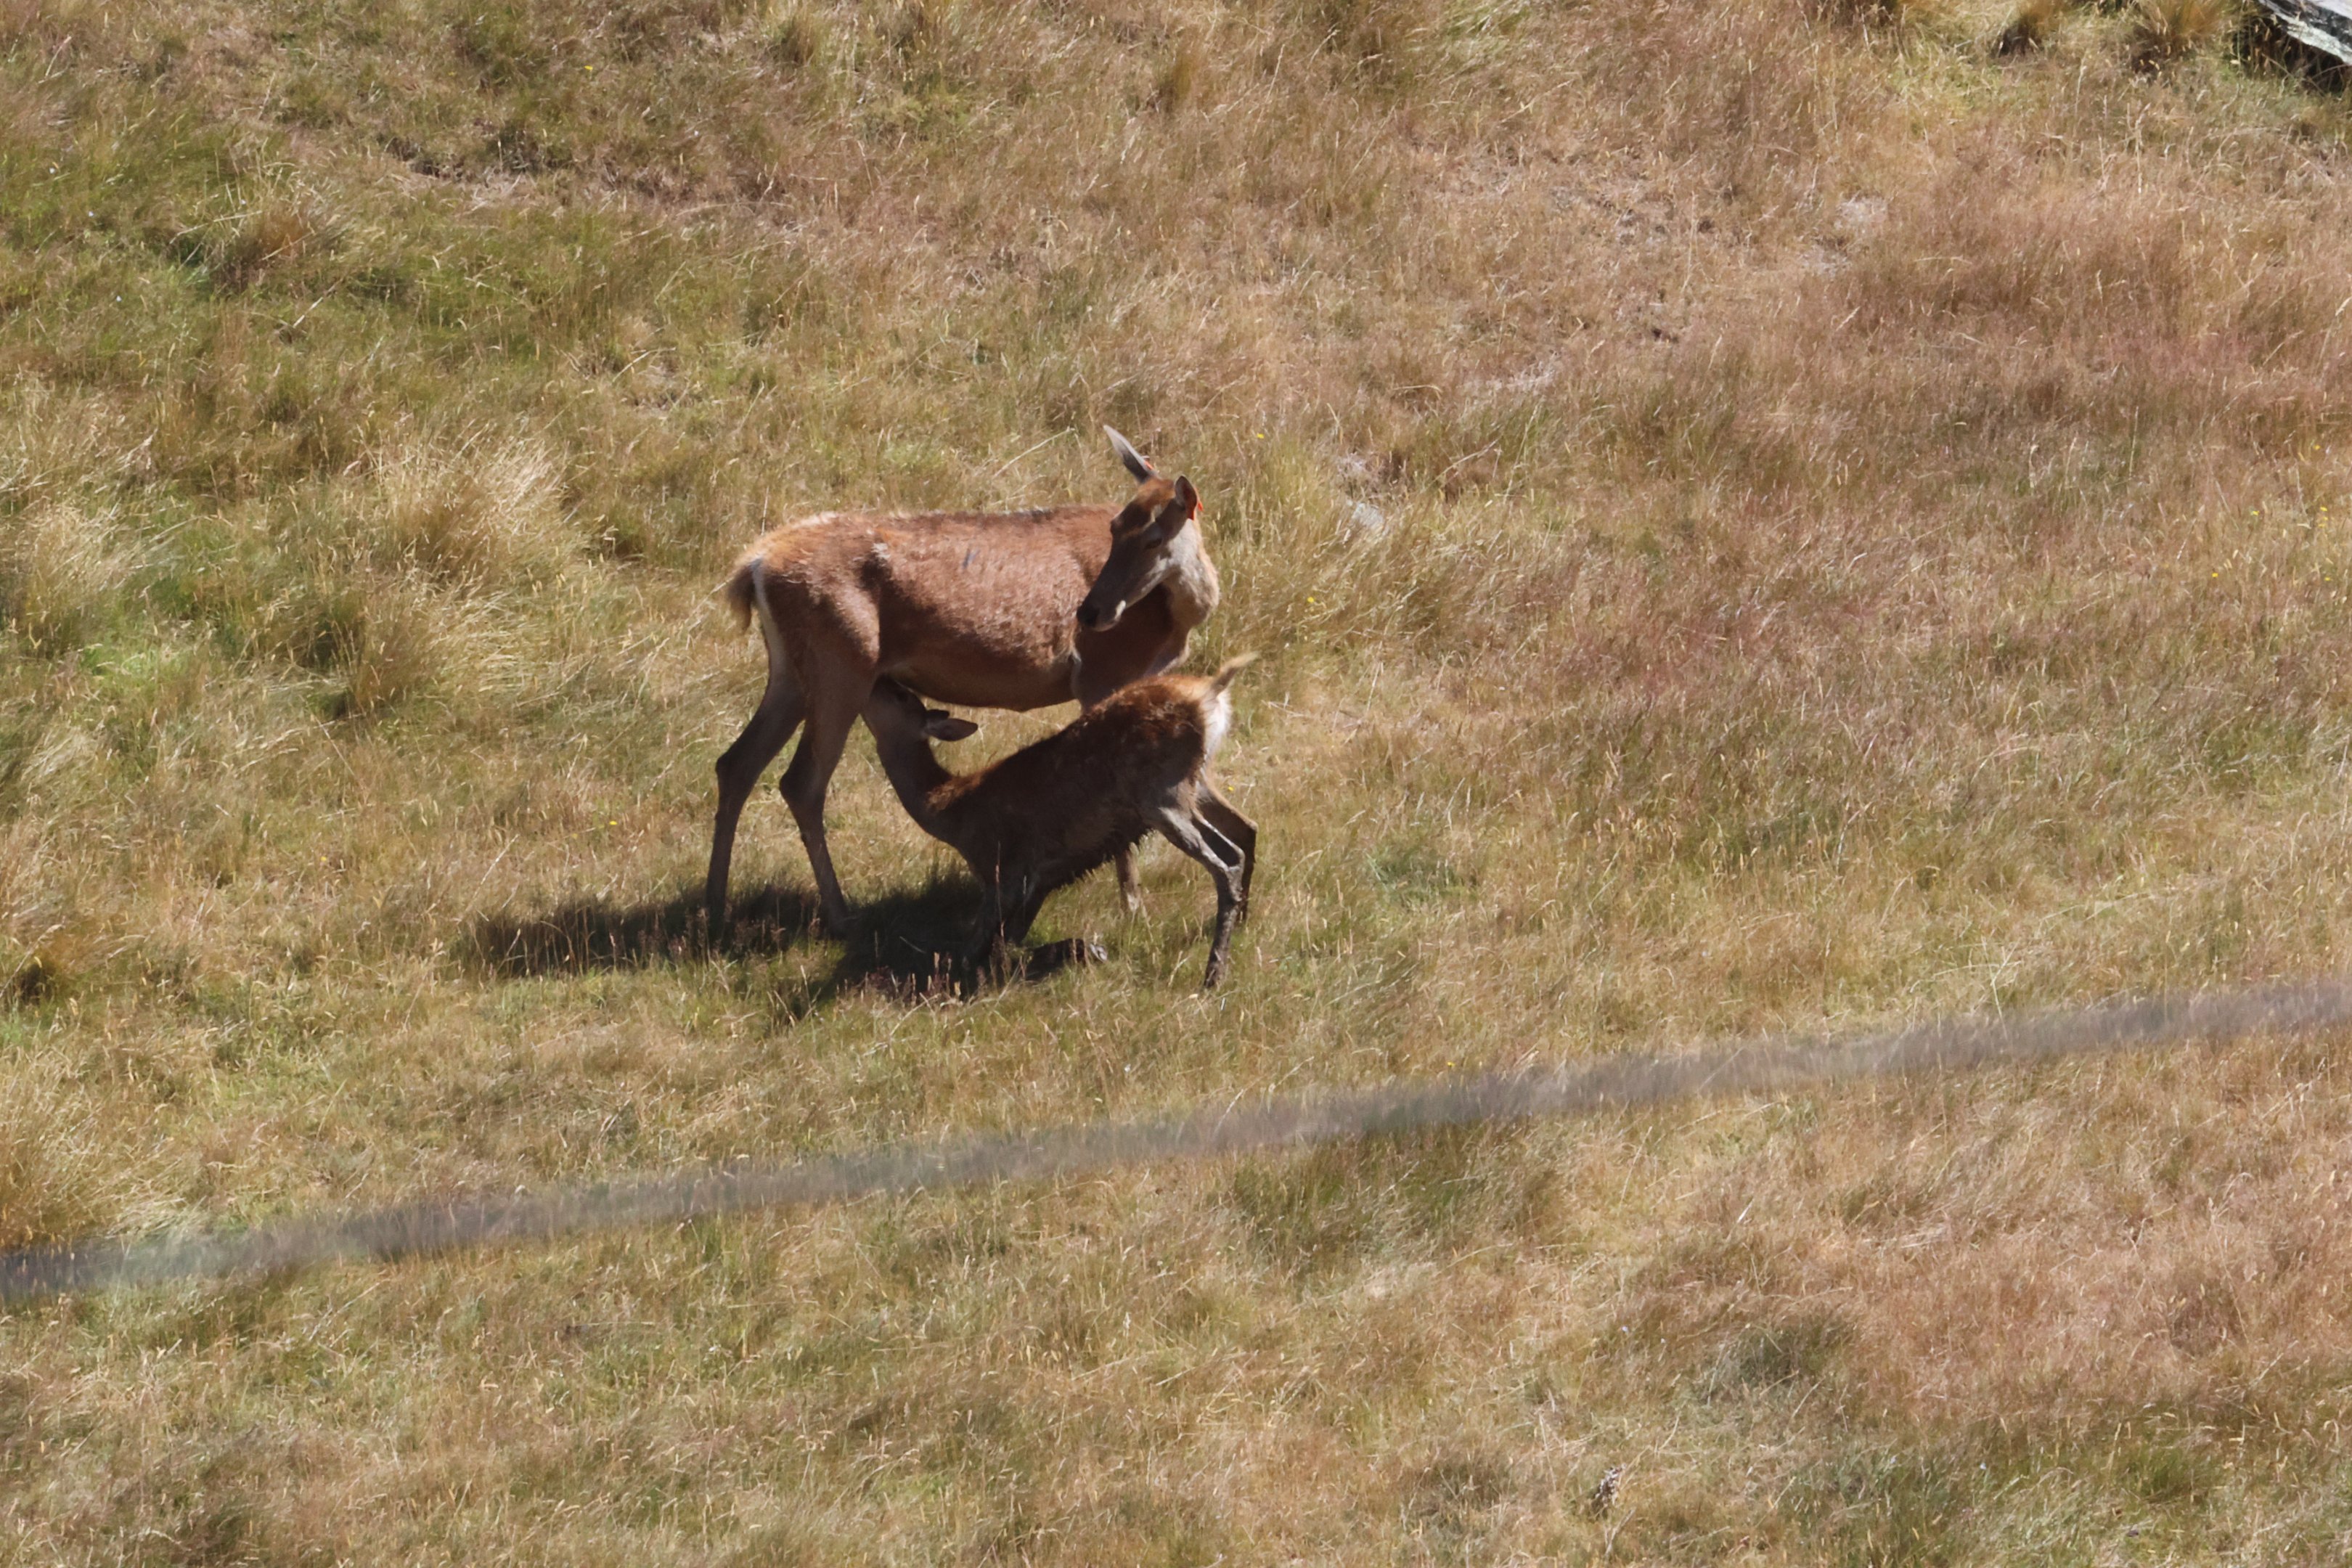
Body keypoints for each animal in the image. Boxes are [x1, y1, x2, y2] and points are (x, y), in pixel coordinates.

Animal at [707, 428, 1219, 936]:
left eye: (1153, 537)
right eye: (1115, 528)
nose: (1092, 613)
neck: (1176, 620)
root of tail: (754, 565)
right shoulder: (1100, 672)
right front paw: (1132, 905)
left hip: (791, 672)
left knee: (736, 762)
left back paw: (715, 908)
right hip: (842, 662)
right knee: (802, 782)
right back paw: (839, 913)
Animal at [859, 656, 1259, 989]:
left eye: (900, 694)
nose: (875, 677)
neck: (950, 809)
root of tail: (1210, 693)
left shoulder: (1001, 868)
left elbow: (975, 953)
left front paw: (1085, 951)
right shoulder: (1042, 879)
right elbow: (1010, 941)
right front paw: (1083, 950)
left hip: (1162, 794)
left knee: (1227, 861)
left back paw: (1213, 974)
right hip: (1195, 783)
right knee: (1246, 830)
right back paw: (1241, 924)